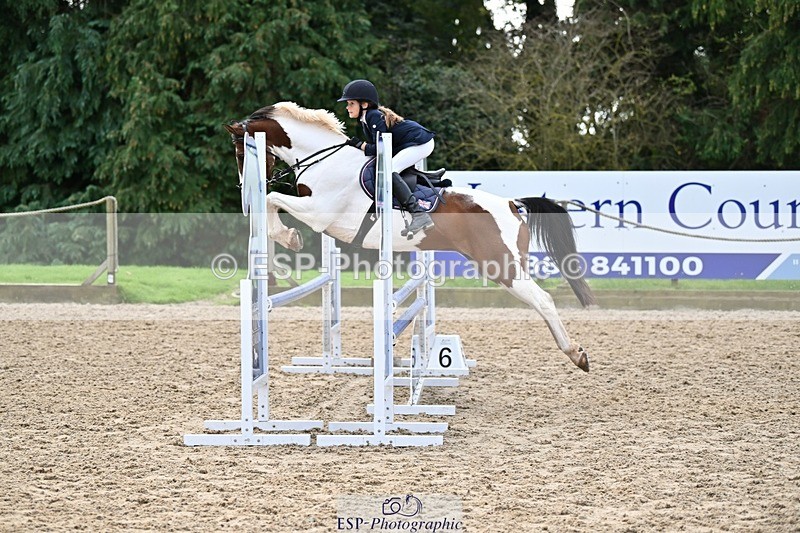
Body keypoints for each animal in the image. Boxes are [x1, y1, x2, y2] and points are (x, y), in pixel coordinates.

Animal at [224, 101, 596, 372]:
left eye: (241, 154)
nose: (242, 189)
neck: (324, 160)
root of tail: (510, 203)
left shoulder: (319, 213)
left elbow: (272, 201)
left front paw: (289, 239)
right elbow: (272, 203)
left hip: (501, 265)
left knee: (543, 300)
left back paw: (576, 353)